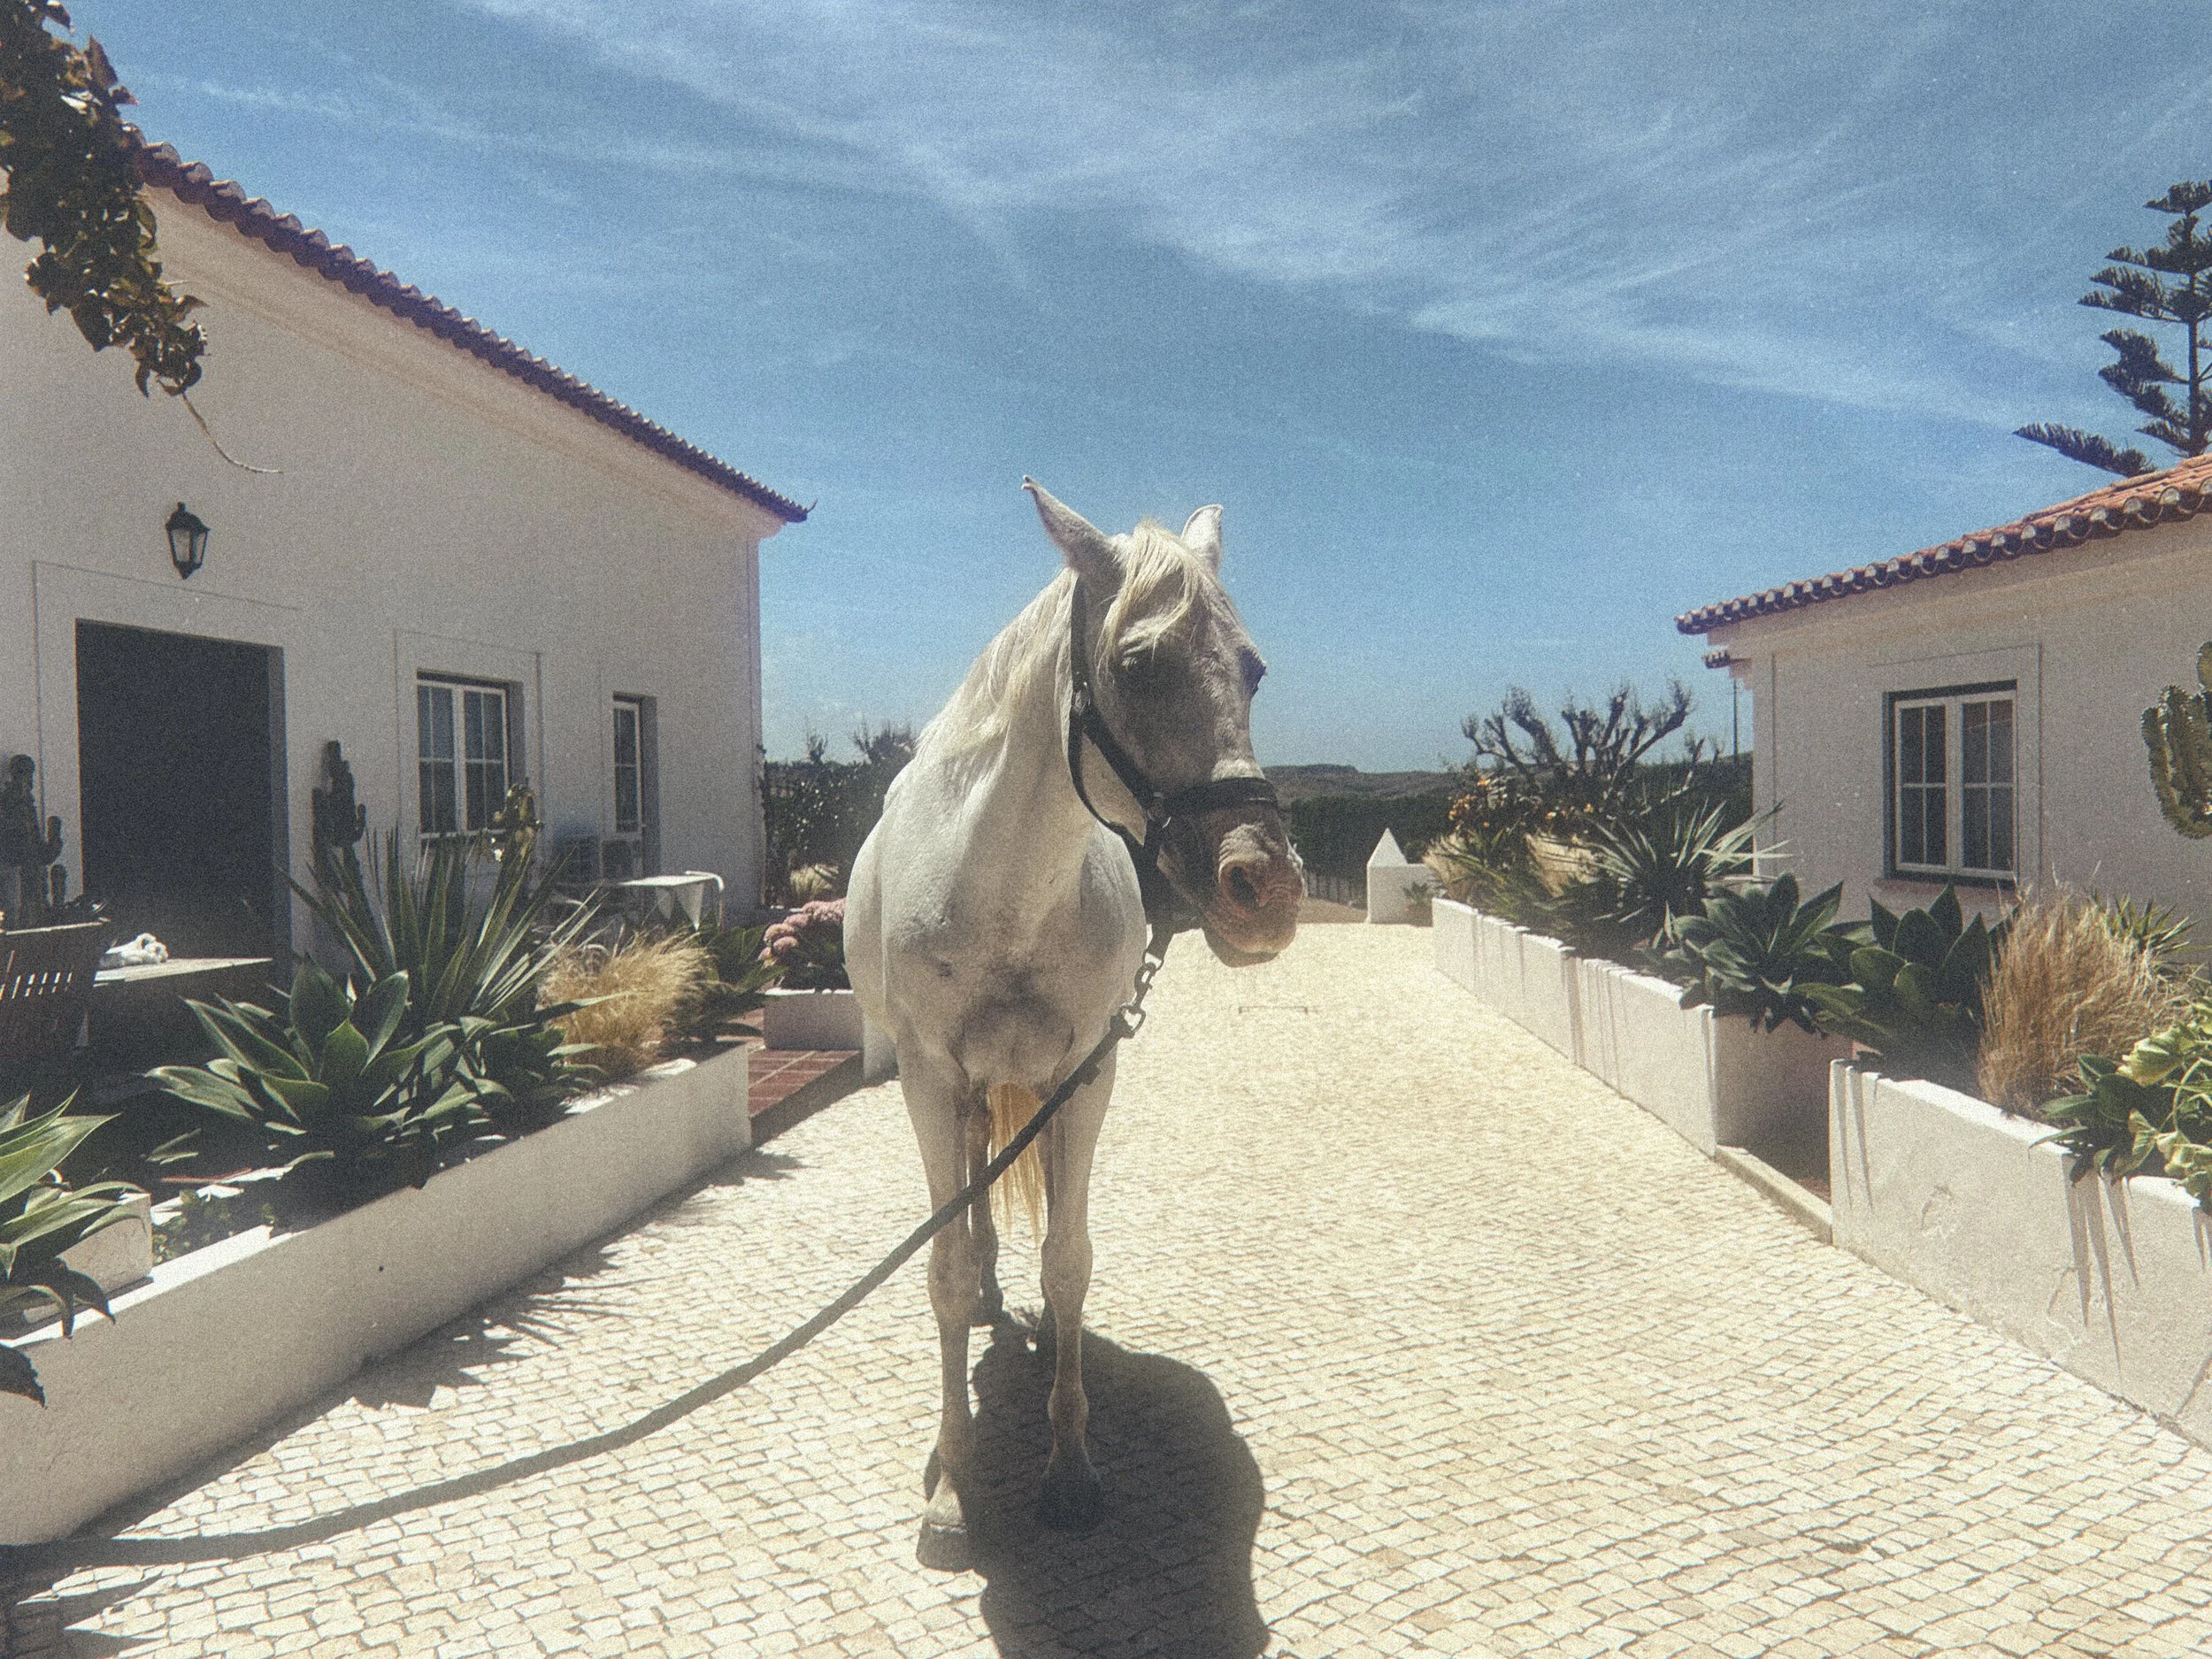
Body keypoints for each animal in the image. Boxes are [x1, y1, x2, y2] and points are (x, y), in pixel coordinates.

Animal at [845, 479, 1304, 1569]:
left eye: (1254, 669)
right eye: (1136, 664)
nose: (1264, 890)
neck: (1001, 893)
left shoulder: (1086, 1076)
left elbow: (1069, 1261)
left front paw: (1069, 1467)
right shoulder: (928, 1080)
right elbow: (943, 1265)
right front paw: (953, 1489)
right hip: (964, 1093)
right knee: (973, 1188)